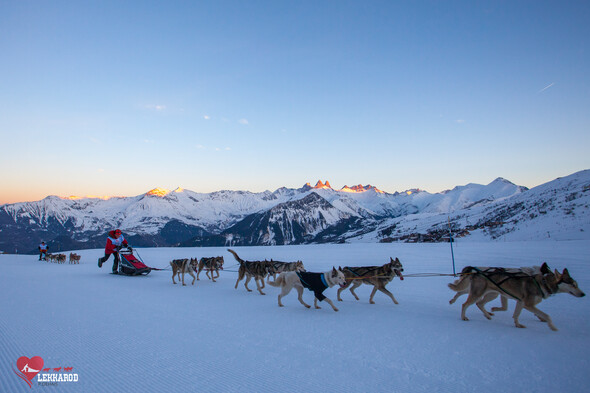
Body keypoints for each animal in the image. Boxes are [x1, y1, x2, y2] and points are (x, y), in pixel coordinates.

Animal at [450, 262, 584, 330]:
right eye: (573, 285)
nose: (583, 294)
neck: (541, 281)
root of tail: (474, 270)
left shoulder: (519, 301)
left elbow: (514, 313)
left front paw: (518, 324)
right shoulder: (525, 302)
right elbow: (545, 314)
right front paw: (551, 325)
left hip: (489, 293)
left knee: (474, 300)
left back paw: (487, 314)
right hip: (480, 293)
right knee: (465, 302)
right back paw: (463, 314)